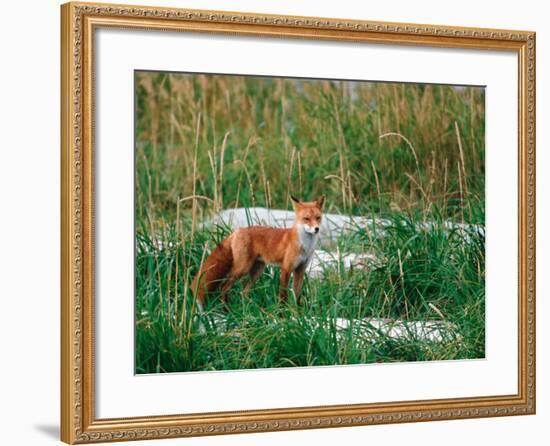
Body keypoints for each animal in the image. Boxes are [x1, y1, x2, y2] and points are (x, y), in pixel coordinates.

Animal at [192, 195, 326, 310]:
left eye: (318, 218)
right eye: (306, 219)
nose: (316, 229)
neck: (305, 245)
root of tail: (237, 231)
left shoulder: (300, 269)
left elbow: (297, 295)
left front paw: (298, 313)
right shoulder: (286, 268)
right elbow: (283, 295)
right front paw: (283, 314)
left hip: (257, 271)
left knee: (243, 291)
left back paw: (247, 311)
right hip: (243, 268)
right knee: (223, 288)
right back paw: (227, 311)